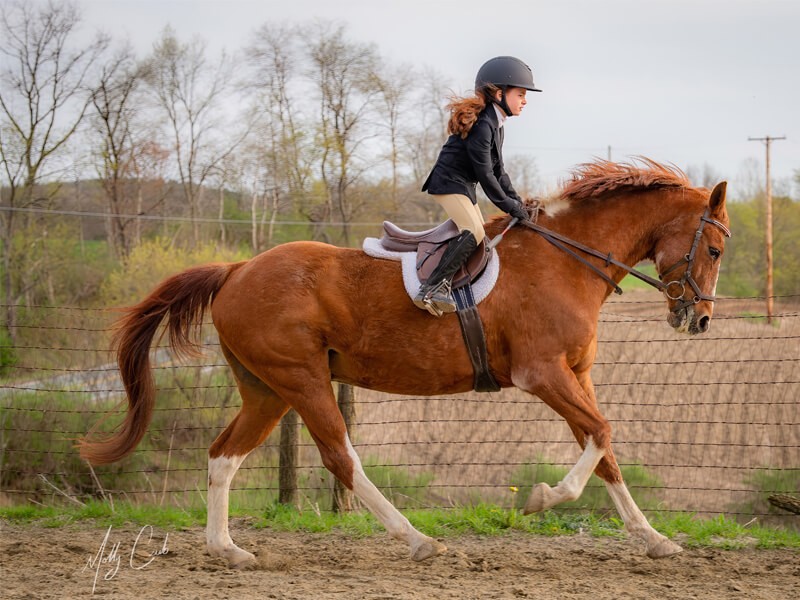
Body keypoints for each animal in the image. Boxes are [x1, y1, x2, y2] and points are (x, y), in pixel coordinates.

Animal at [80, 159, 731, 568]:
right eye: (716, 247)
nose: (699, 320)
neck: (566, 259)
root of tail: (236, 269)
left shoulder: (577, 377)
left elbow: (605, 450)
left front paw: (653, 540)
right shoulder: (543, 374)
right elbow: (601, 434)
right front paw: (541, 498)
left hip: (268, 390)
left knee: (223, 457)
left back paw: (227, 550)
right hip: (302, 380)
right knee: (341, 459)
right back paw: (418, 541)